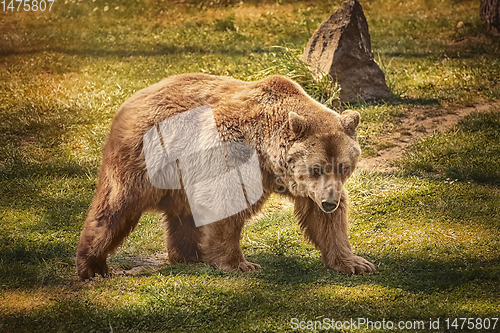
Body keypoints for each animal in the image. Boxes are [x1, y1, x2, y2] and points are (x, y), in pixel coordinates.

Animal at [76, 73, 376, 280]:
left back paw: (189, 254)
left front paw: (355, 262)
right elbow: (225, 200)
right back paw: (92, 265)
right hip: (146, 156)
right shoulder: (230, 148)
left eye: (345, 167)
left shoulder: (304, 186)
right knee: (117, 204)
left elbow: (325, 223)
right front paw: (241, 264)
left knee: (184, 212)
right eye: (316, 168)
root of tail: (133, 97)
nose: (329, 202)